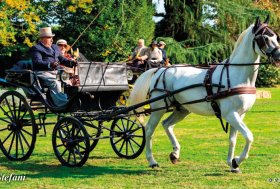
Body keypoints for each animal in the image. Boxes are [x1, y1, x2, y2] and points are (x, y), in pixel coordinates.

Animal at [129, 16, 280, 173]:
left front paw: (232, 164)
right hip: (159, 108)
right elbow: (249, 137)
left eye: (276, 36)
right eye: (265, 38)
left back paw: (175, 154)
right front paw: (237, 160)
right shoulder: (230, 114)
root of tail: (160, 70)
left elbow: (233, 139)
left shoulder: (239, 114)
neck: (236, 76)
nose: (278, 55)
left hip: (182, 109)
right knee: (149, 129)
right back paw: (152, 161)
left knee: (167, 124)